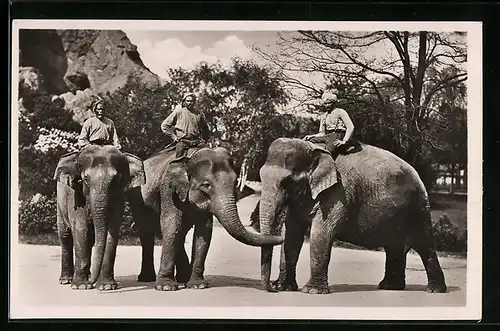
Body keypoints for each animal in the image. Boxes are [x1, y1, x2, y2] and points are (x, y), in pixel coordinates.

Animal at [53, 145, 146, 290]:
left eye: (116, 179)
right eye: (85, 178)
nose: (91, 283)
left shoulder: (119, 197)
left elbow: (111, 232)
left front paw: (106, 286)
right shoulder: (76, 196)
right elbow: (82, 230)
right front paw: (81, 286)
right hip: (60, 200)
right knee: (65, 236)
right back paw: (66, 280)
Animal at [128, 147, 286, 292]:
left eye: (235, 182)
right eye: (206, 185)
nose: (281, 237)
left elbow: (204, 231)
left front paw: (198, 285)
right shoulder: (168, 190)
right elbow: (171, 225)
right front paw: (166, 287)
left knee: (180, 234)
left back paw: (183, 277)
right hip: (137, 201)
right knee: (147, 233)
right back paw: (147, 278)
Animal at [252, 137, 448, 296]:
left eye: (287, 182)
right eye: (260, 176)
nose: (271, 288)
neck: (315, 150)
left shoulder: (338, 193)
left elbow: (320, 234)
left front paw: (312, 291)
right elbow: (292, 235)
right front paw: (283, 288)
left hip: (419, 206)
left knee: (423, 244)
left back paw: (434, 290)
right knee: (395, 246)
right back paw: (390, 287)